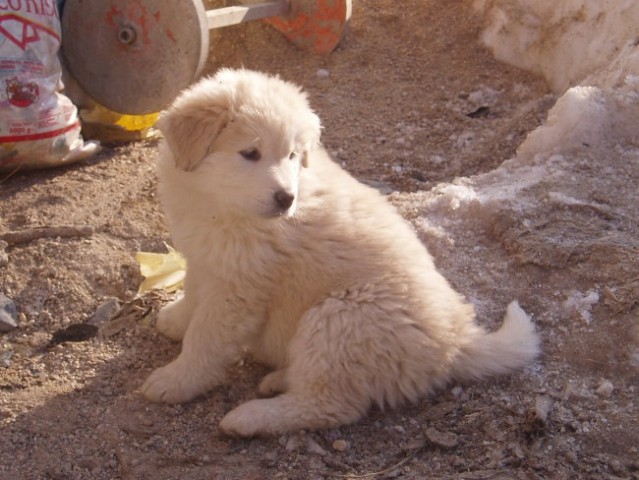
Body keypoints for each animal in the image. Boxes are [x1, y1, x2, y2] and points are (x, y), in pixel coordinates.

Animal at [141, 68, 540, 438]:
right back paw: (279, 379)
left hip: (340, 319)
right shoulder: (206, 255)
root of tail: (456, 343)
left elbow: (205, 339)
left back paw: (251, 417)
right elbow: (194, 293)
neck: (219, 205)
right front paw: (176, 319)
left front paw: (175, 380)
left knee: (330, 404)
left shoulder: (239, 289)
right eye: (250, 153)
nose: (286, 199)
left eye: (291, 155)